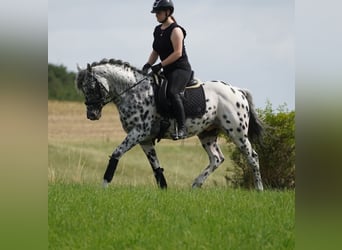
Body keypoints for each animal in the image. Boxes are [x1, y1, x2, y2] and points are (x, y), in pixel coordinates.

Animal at [76, 59, 266, 191]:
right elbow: (156, 167)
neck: (135, 92)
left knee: (253, 157)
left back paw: (259, 189)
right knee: (216, 158)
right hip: (207, 133)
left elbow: (116, 154)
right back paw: (195, 185)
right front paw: (164, 190)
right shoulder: (145, 139)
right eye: (83, 89)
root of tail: (237, 91)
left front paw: (104, 185)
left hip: (237, 132)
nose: (91, 115)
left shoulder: (138, 132)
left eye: (91, 87)